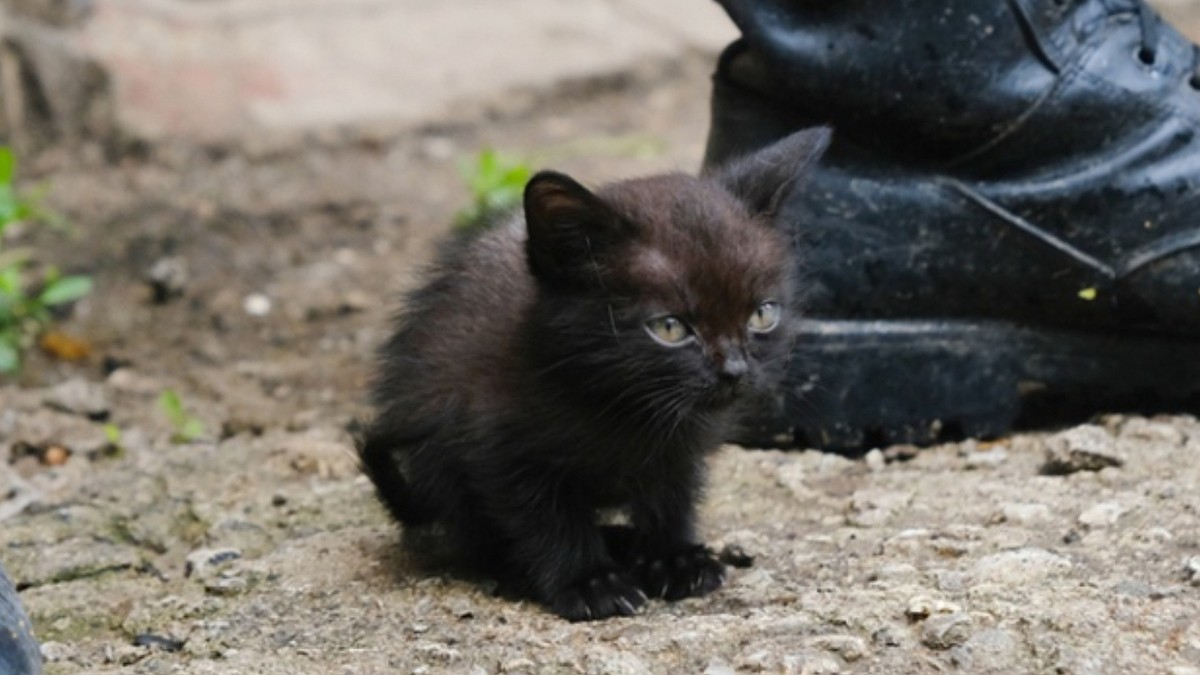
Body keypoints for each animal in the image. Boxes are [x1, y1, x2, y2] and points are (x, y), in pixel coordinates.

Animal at [360, 127, 830, 619]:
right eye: (670, 328)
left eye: (762, 315)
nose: (734, 369)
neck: (619, 405)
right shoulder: (495, 445)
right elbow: (545, 518)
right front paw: (589, 582)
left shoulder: (679, 448)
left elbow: (672, 496)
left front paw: (672, 557)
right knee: (473, 531)